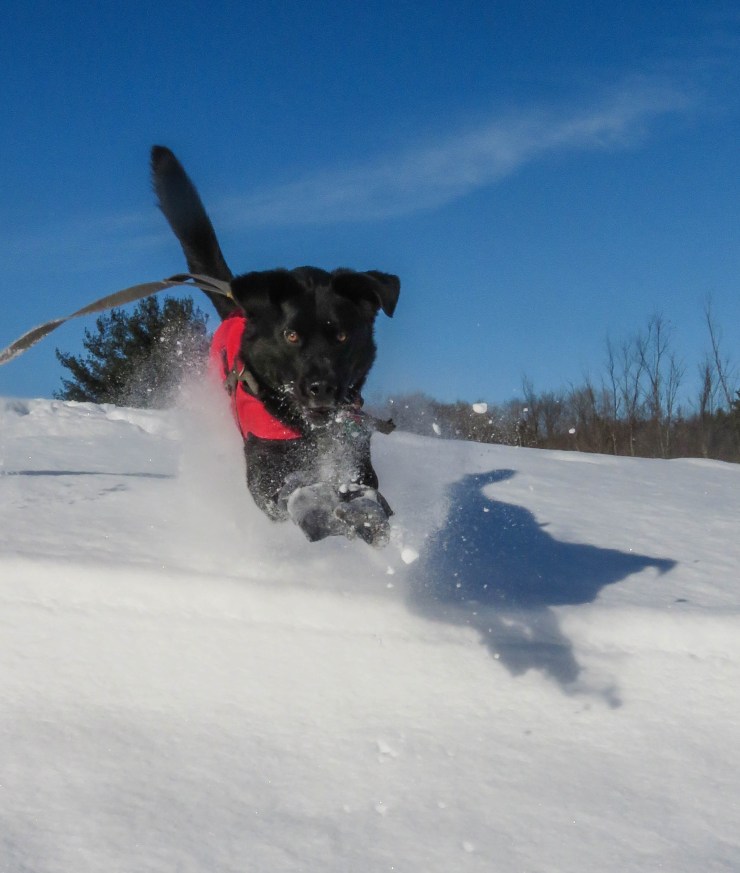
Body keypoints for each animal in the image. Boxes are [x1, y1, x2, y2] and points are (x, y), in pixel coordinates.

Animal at [150, 146, 399, 546]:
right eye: (291, 335)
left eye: (342, 336)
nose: (322, 388)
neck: (308, 428)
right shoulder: (263, 468)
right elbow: (286, 493)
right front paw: (317, 506)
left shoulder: (354, 449)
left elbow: (365, 488)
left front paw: (364, 511)